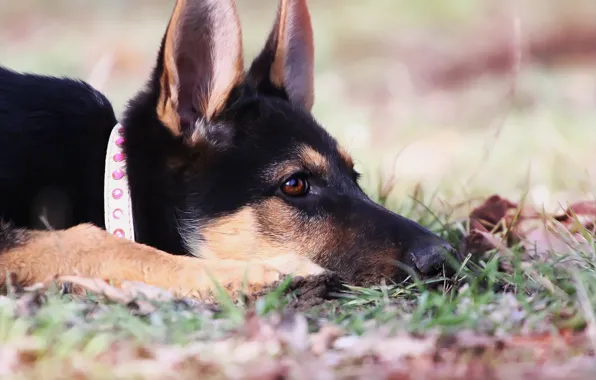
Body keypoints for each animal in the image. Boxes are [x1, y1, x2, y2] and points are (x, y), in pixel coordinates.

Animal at [1, 0, 456, 298]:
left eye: (355, 175)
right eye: (295, 184)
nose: (446, 260)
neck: (103, 172)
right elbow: (91, 241)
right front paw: (266, 271)